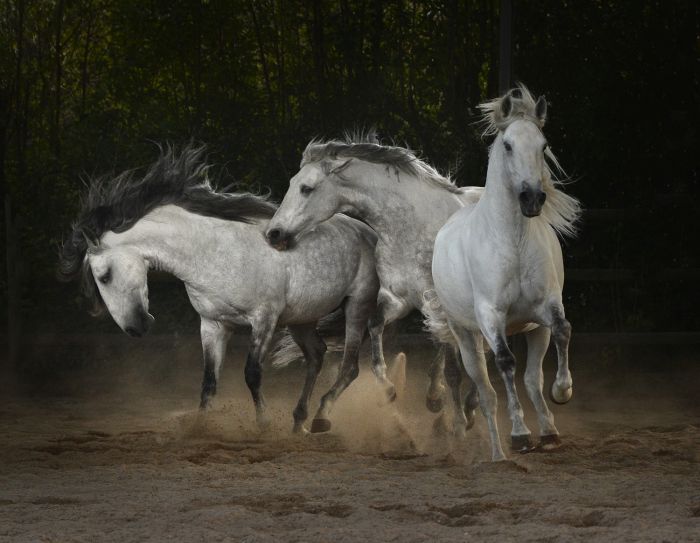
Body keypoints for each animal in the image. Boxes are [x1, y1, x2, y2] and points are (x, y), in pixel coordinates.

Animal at [266, 131, 484, 434]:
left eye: (306, 188)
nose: (273, 233)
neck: (411, 226)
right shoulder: (397, 299)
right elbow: (375, 327)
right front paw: (388, 390)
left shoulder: (440, 305)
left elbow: (454, 364)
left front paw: (459, 422)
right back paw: (437, 398)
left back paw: (466, 406)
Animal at [430, 87, 584, 462]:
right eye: (509, 145)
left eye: (543, 145)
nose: (533, 198)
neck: (512, 242)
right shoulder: (491, 315)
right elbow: (505, 363)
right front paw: (519, 435)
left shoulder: (547, 306)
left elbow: (563, 331)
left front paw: (563, 391)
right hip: (466, 335)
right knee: (485, 390)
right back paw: (497, 452)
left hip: (532, 329)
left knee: (531, 378)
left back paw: (549, 431)